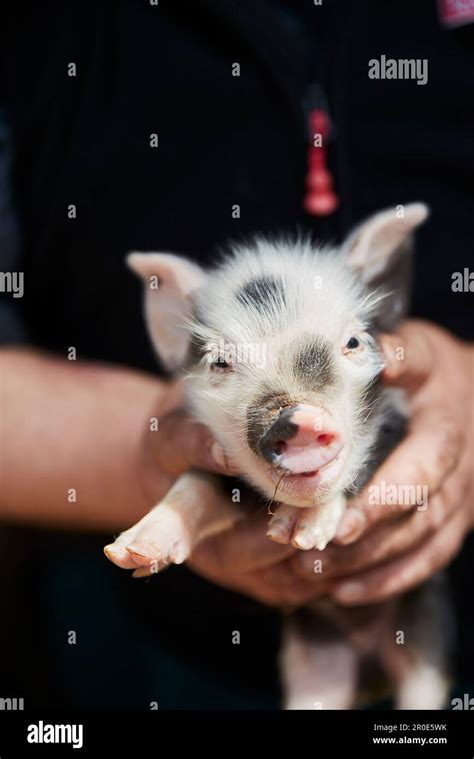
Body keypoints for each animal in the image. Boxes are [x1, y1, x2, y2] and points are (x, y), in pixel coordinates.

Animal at [104, 204, 453, 709]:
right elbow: (196, 484)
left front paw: (299, 533)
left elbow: (362, 467)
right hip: (314, 662)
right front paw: (128, 552)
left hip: (426, 628)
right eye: (220, 362)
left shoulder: (399, 424)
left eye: (353, 342)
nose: (297, 418)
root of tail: (369, 668)